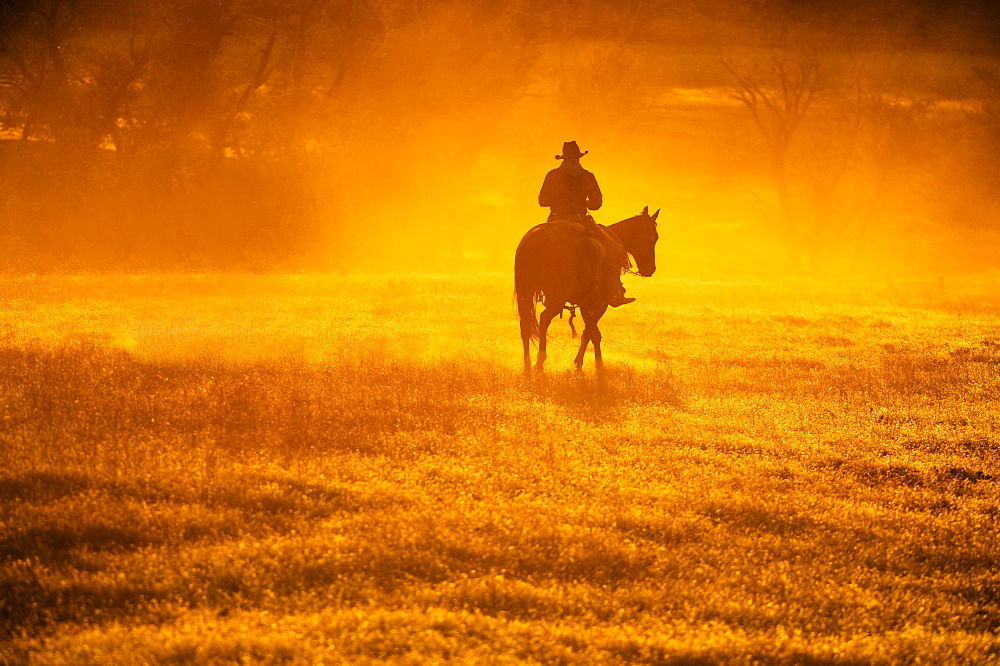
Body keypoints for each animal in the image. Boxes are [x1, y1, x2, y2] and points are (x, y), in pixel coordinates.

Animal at [512, 206, 660, 374]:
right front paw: (591, 365)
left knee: (525, 325)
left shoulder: (585, 303)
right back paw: (539, 362)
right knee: (544, 319)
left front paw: (583, 364)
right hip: (558, 298)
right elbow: (592, 333)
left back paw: (527, 366)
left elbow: (590, 332)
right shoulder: (599, 303)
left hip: (525, 293)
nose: (651, 269)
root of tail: (539, 237)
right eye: (653, 237)